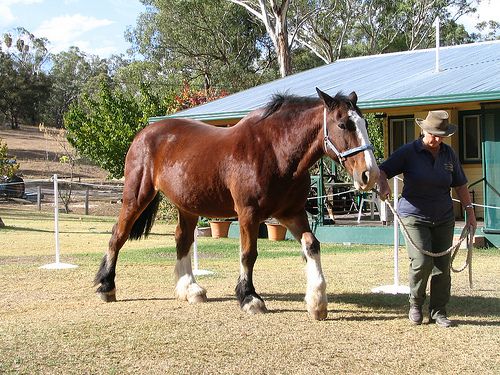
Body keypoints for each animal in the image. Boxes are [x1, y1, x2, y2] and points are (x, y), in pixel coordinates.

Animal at [94, 88, 378, 320]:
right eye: (343, 124)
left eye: (364, 123)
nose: (369, 174)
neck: (276, 151)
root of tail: (145, 133)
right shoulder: (248, 214)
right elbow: (248, 254)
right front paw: (250, 297)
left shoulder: (292, 213)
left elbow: (312, 245)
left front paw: (317, 302)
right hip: (136, 196)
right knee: (118, 235)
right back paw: (106, 286)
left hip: (188, 207)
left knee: (182, 240)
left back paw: (190, 289)